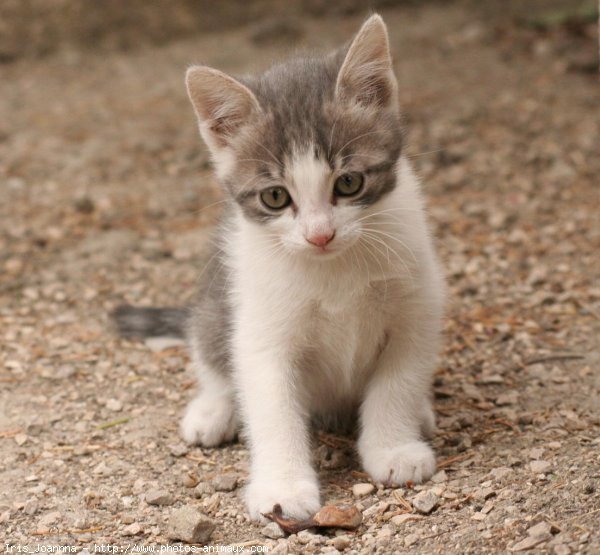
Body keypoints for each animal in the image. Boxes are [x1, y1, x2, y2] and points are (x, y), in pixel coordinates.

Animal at [113, 15, 446, 524]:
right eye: (275, 196)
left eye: (349, 183)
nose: (319, 235)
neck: (333, 268)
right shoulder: (262, 332)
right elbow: (272, 409)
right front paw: (282, 487)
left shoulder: (418, 307)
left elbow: (397, 382)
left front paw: (393, 448)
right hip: (217, 304)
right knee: (212, 355)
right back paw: (213, 410)